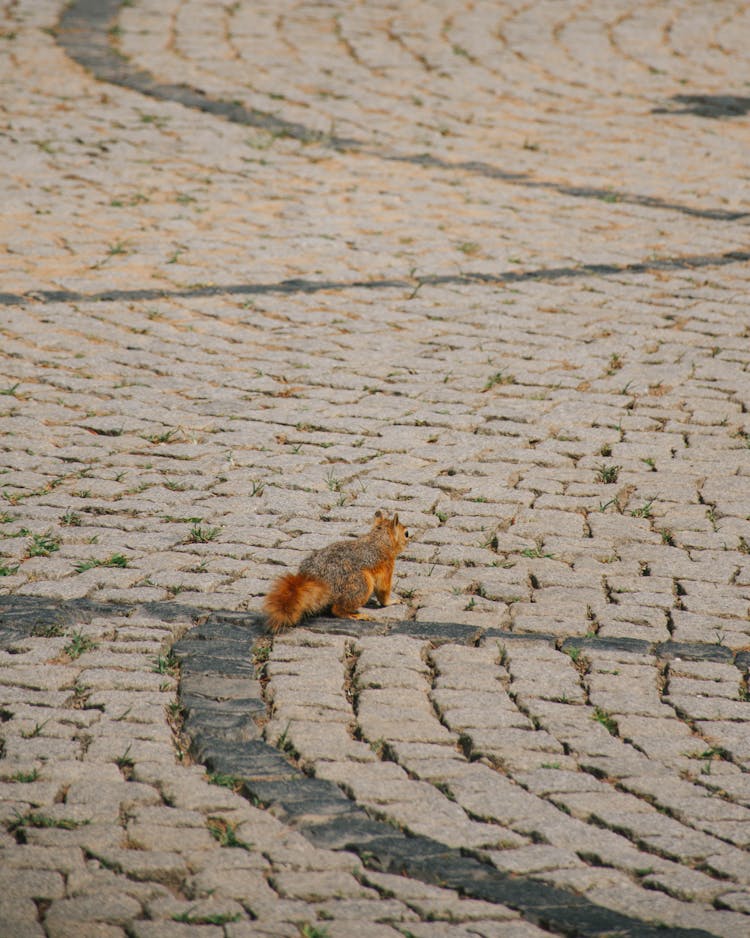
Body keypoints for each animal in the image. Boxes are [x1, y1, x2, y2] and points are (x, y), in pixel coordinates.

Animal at [264, 508, 412, 632]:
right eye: (406, 533)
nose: (410, 540)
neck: (380, 540)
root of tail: (317, 580)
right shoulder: (387, 567)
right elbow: (383, 591)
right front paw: (392, 601)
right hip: (360, 584)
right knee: (337, 610)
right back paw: (356, 616)